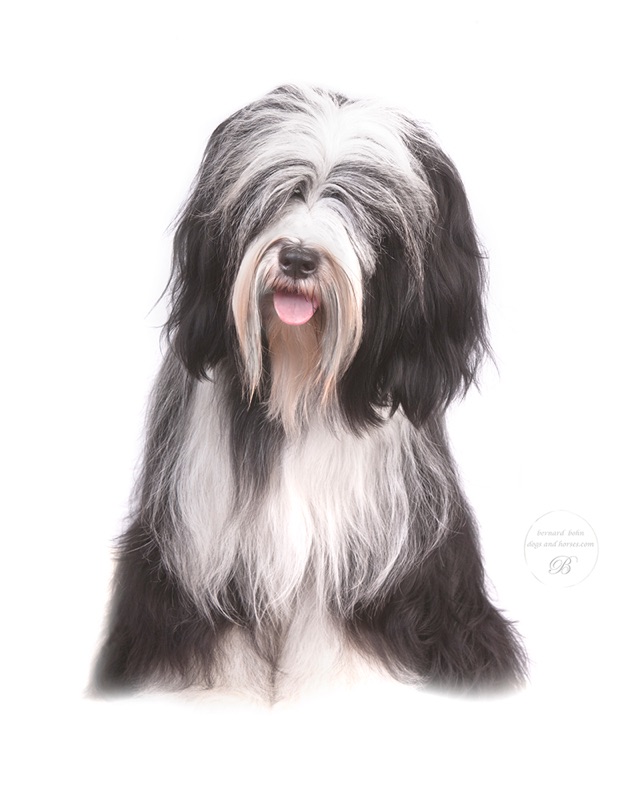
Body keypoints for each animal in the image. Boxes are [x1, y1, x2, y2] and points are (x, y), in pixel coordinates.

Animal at [93, 85, 526, 700]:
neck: (298, 388)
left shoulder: (378, 562)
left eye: (366, 207)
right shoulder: (197, 551)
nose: (297, 257)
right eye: (284, 189)